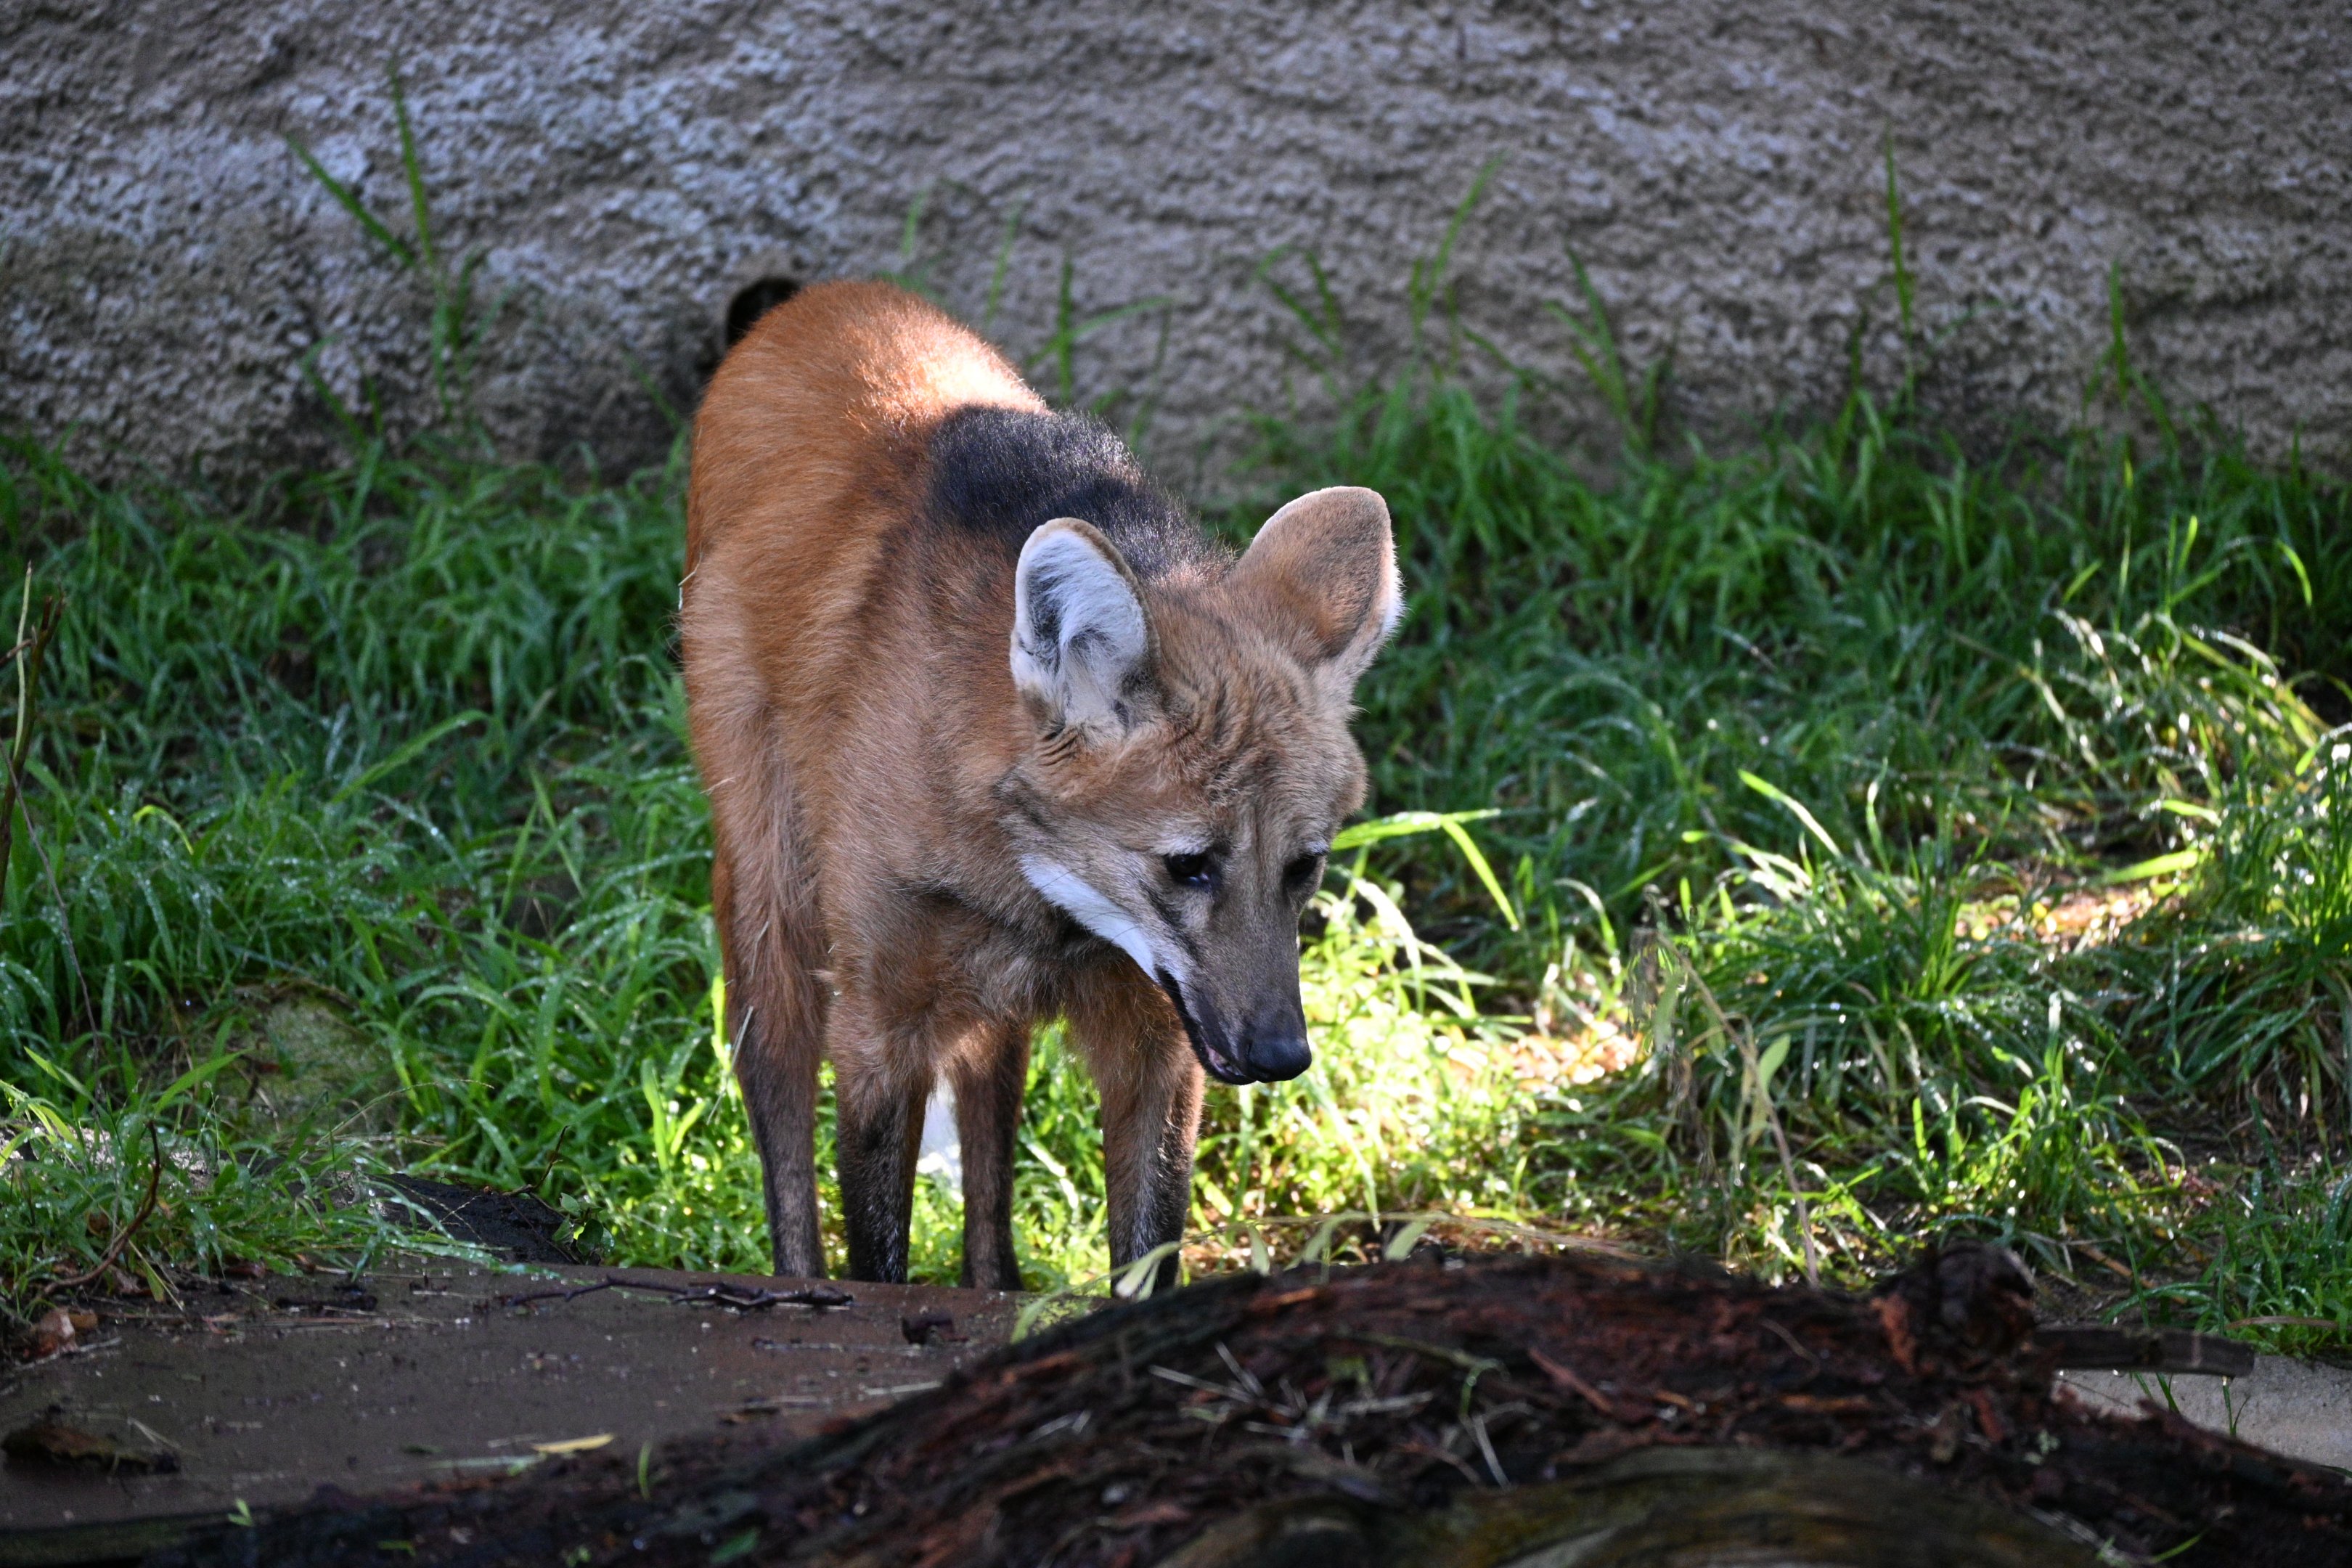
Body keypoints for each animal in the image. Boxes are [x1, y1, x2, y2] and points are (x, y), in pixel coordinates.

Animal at [683, 281, 1399, 1287]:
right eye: (1189, 865)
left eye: (1305, 868)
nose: (1280, 1055)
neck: (1038, 893)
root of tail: (816, 299)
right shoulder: (880, 1027)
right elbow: (877, 1252)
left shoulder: (1159, 1031)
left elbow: (1146, 1248)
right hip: (773, 889)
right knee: (781, 1087)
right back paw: (797, 1282)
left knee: (990, 1101)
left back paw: (995, 1284)